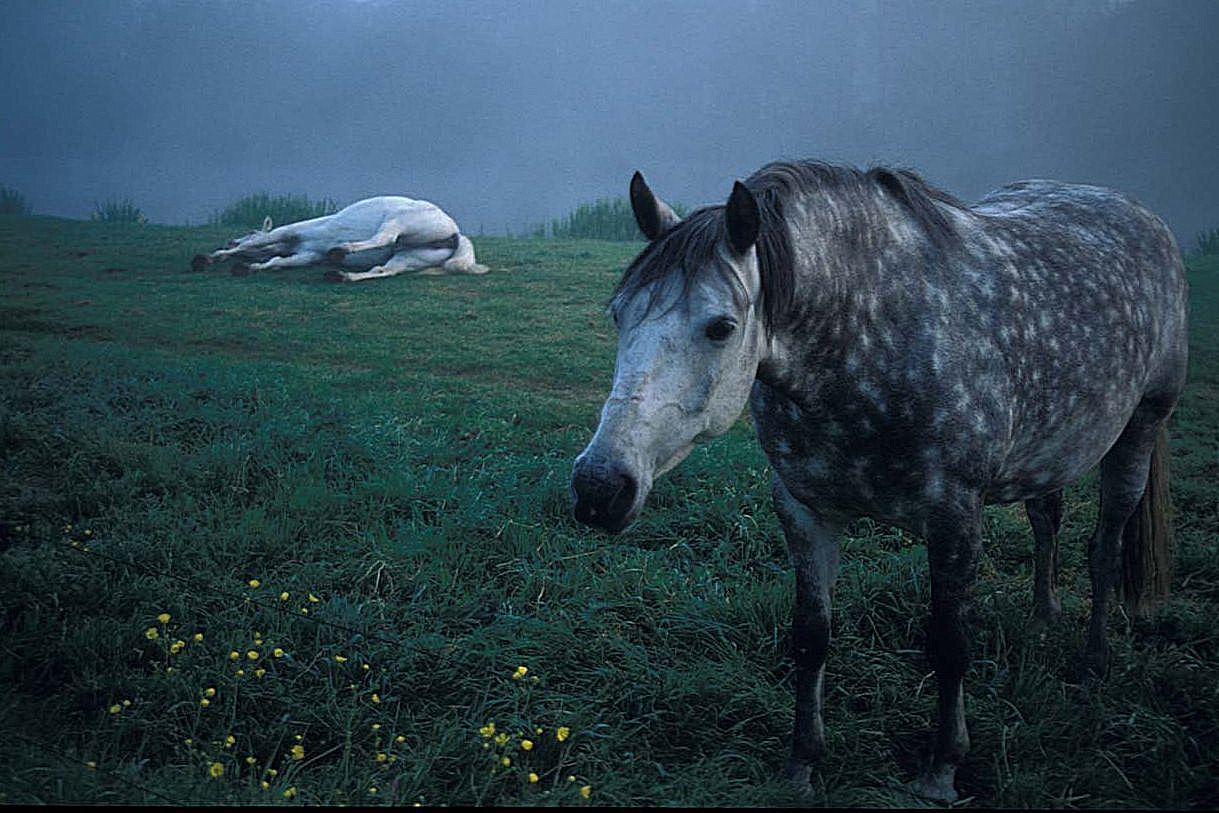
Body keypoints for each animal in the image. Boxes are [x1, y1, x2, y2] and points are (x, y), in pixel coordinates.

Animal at [570, 160, 1189, 799]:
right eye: (619, 314)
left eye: (720, 327)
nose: (599, 487)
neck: (872, 334)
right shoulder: (803, 510)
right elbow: (811, 636)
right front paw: (802, 765)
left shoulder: (954, 520)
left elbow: (950, 644)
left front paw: (942, 770)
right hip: (1050, 451)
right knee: (1048, 519)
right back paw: (1044, 616)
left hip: (1141, 427)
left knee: (1105, 548)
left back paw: (1093, 663)